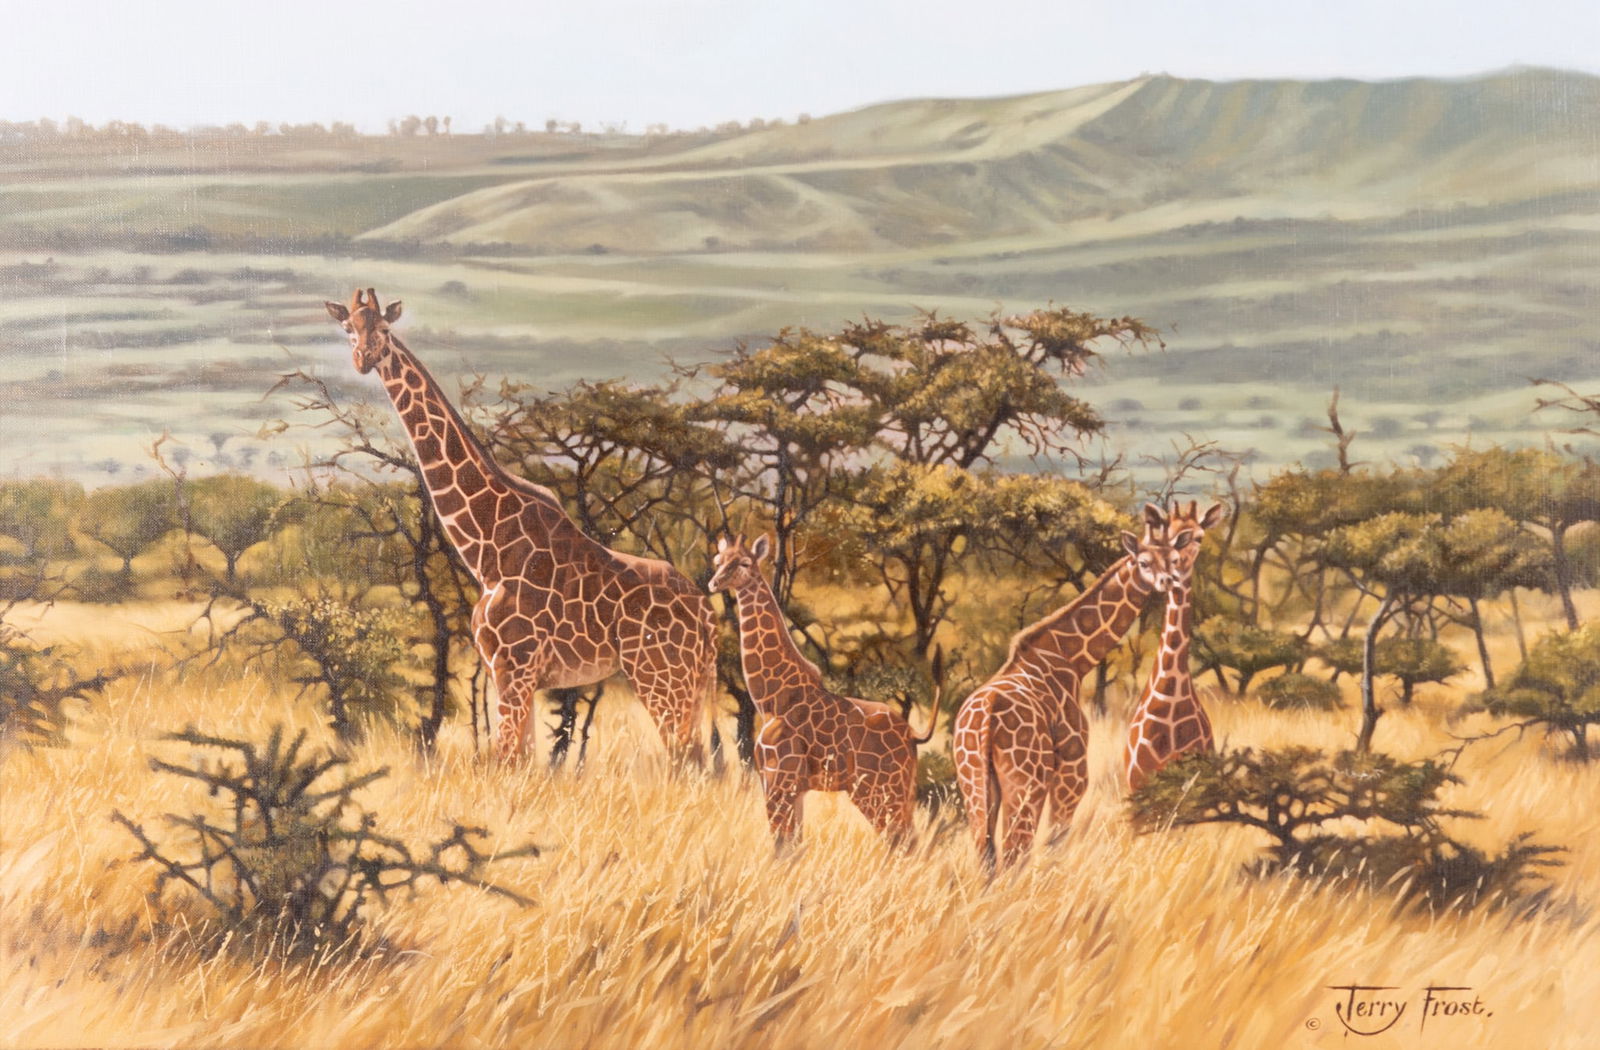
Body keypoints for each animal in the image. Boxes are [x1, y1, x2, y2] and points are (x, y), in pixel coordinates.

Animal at [324, 289, 717, 764]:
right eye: (348, 327)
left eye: (383, 328)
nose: (363, 359)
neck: (487, 549)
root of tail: (707, 616)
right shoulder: (506, 672)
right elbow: (521, 760)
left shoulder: (515, 666)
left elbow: (506, 759)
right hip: (692, 684)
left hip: (661, 677)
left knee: (687, 759)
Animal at [709, 534, 941, 849]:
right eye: (718, 560)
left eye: (744, 562)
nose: (714, 583)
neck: (771, 698)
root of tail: (913, 734)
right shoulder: (792, 786)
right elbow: (793, 844)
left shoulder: (779, 778)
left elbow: (781, 844)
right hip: (896, 790)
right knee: (907, 840)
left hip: (879, 789)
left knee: (902, 840)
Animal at [952, 503, 1179, 870]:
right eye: (1144, 562)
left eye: (1173, 558)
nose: (1168, 581)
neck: (1071, 657)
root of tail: (985, 717)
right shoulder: (1072, 769)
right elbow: (1055, 842)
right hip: (1025, 782)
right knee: (1014, 851)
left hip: (973, 781)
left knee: (987, 852)